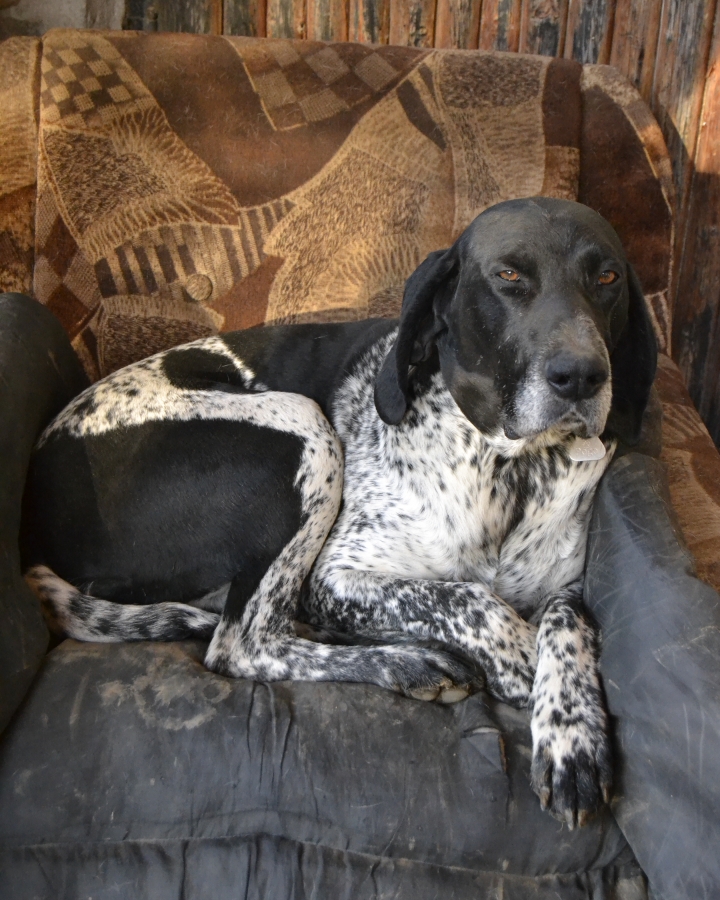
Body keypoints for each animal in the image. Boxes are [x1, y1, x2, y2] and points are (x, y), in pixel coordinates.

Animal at [22, 197, 657, 828]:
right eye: (509, 275)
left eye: (607, 278)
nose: (582, 376)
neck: (512, 468)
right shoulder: (334, 578)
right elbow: (467, 598)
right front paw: (519, 657)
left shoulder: (565, 587)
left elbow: (568, 622)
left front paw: (572, 729)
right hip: (302, 423)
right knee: (243, 643)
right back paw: (407, 663)